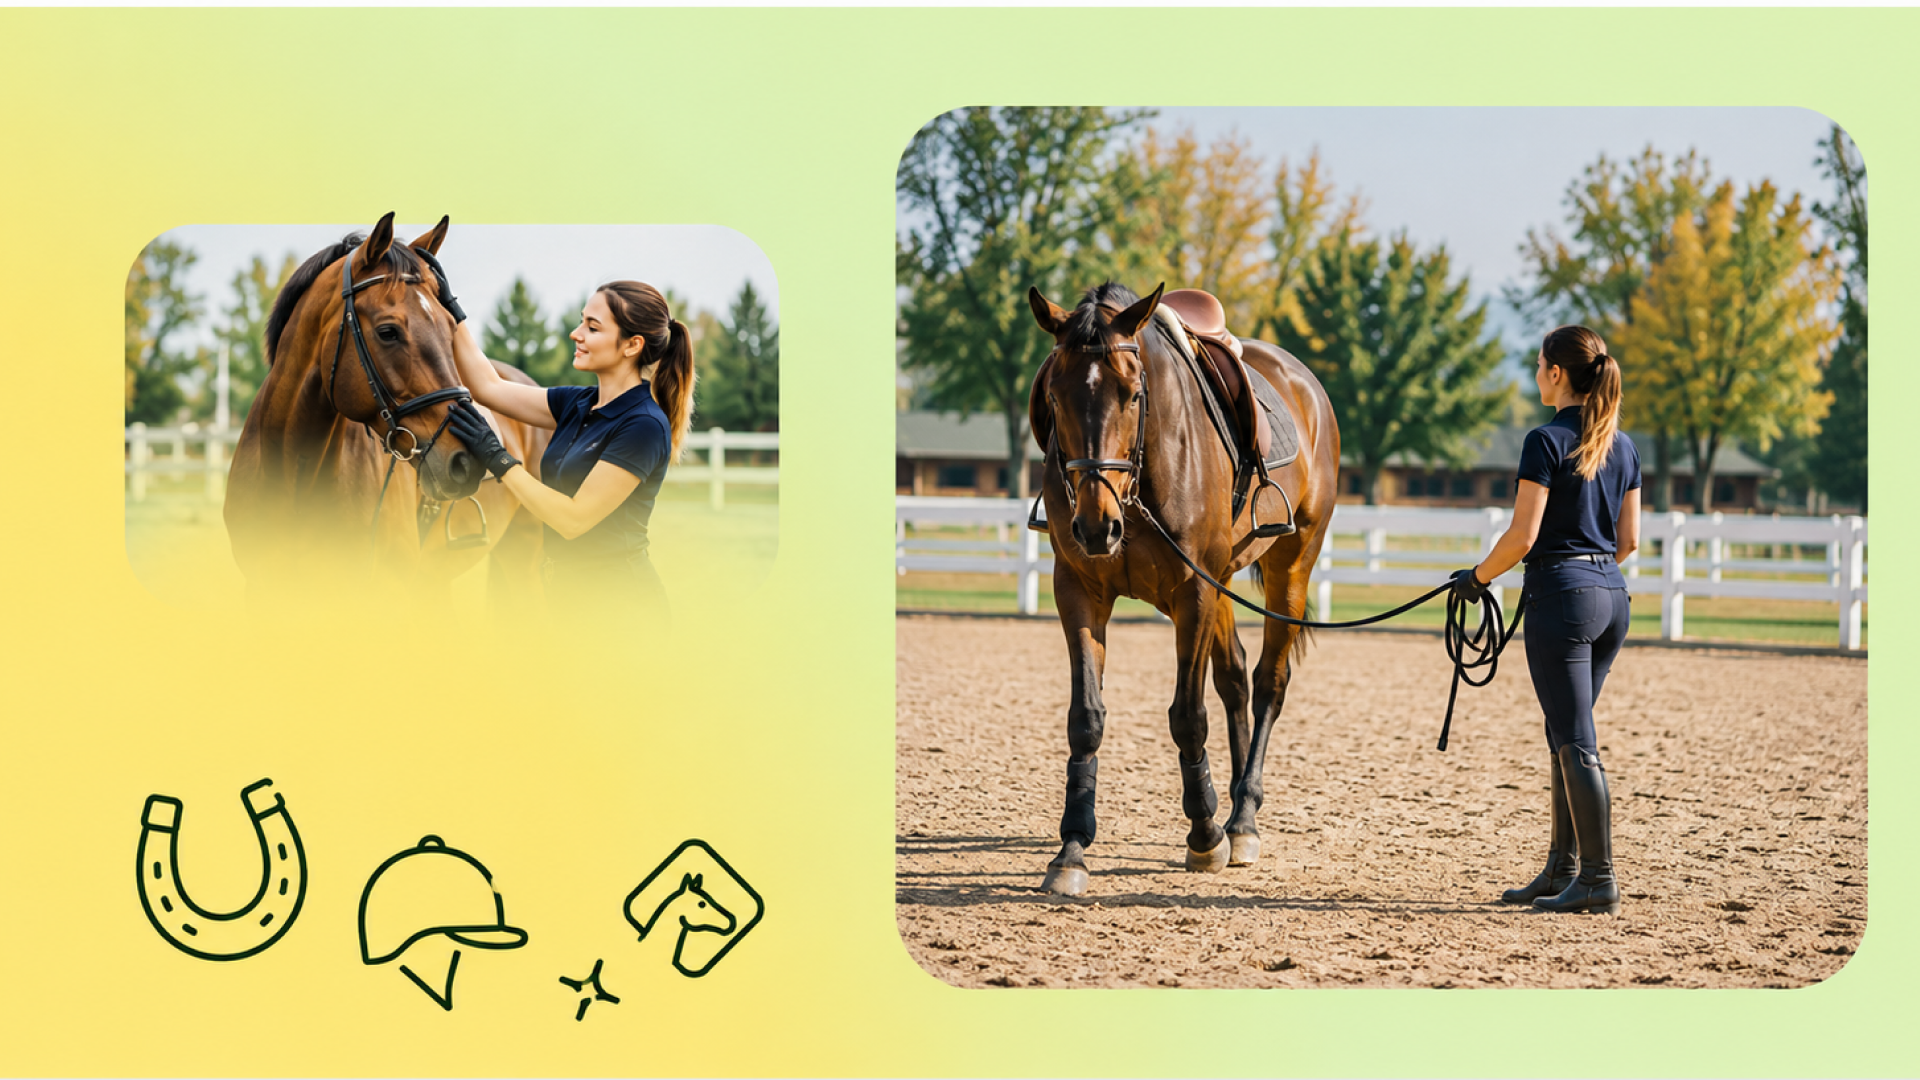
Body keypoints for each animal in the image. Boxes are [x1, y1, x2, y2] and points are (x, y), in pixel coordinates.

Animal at [1025, 281, 1341, 896]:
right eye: (1054, 394)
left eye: (1132, 394)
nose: (1095, 527)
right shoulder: (1077, 590)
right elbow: (1086, 718)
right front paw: (1072, 847)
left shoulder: (1193, 592)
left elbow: (1187, 715)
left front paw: (1204, 834)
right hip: (1225, 580)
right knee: (1235, 678)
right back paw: (1236, 806)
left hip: (1291, 565)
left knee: (1268, 683)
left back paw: (1241, 819)